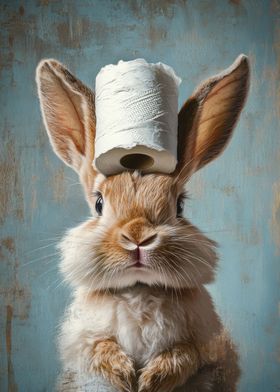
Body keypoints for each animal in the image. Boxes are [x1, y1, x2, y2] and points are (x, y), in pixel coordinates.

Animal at [35, 55, 249, 392]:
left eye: (180, 206)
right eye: (99, 203)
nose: (138, 237)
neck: (138, 289)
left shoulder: (207, 344)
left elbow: (186, 353)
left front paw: (152, 379)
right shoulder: (82, 342)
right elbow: (99, 347)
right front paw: (123, 373)